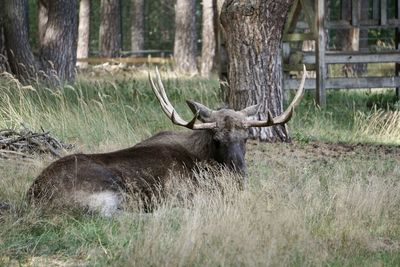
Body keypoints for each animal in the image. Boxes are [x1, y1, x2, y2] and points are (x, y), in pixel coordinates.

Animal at [26, 67, 308, 218]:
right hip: (106, 189)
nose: (239, 173)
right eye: (216, 139)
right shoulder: (184, 191)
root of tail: (33, 196)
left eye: (247, 137)